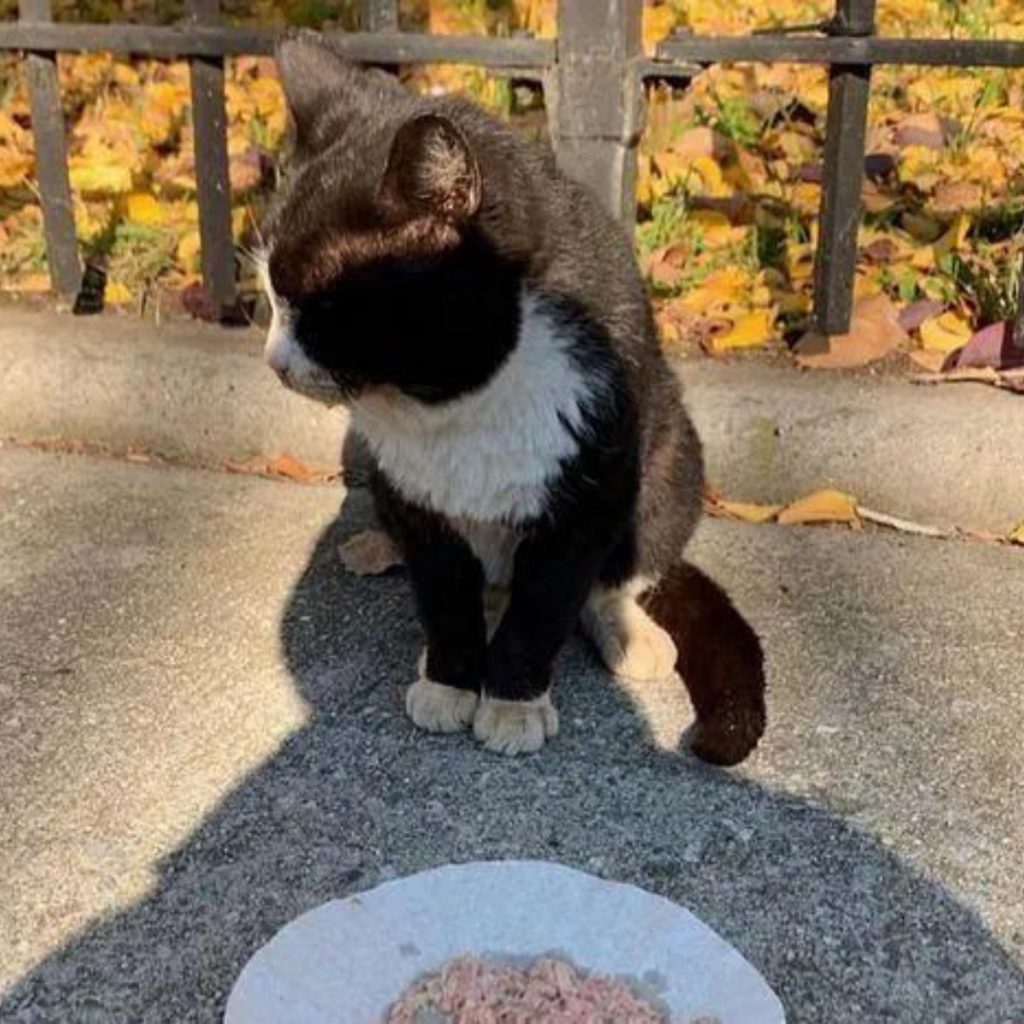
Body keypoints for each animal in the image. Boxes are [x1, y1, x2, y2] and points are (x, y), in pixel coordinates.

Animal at [260, 34, 765, 761]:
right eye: (271, 294)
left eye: (327, 310)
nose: (275, 361)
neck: (454, 406)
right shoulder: (418, 498)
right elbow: (445, 595)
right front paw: (449, 680)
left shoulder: (585, 491)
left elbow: (543, 607)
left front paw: (511, 704)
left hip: (674, 462)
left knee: (617, 574)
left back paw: (629, 633)